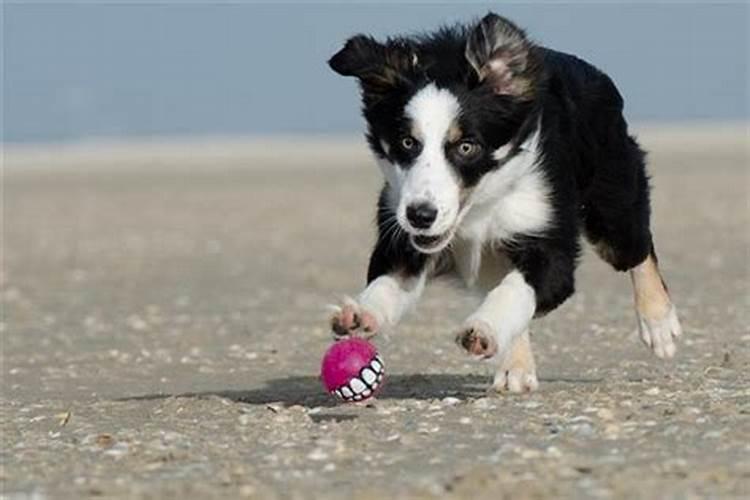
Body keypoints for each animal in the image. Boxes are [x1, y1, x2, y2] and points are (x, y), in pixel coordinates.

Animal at [326, 11, 684, 392]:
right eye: (407, 142)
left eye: (467, 146)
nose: (421, 215)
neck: (478, 206)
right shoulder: (402, 227)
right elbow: (389, 280)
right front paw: (360, 313)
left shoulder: (547, 235)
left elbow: (516, 289)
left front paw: (483, 329)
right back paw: (516, 367)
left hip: (610, 199)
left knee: (636, 248)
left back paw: (659, 324)